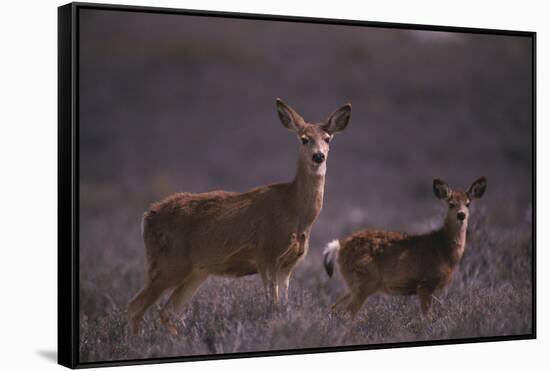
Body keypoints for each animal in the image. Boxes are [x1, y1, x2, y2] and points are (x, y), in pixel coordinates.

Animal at [129, 97, 352, 336]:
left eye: (328, 138)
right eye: (304, 139)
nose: (318, 156)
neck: (294, 212)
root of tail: (147, 217)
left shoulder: (288, 264)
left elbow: (284, 306)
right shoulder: (266, 254)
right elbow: (272, 307)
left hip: (195, 270)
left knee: (167, 311)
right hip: (169, 262)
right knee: (136, 306)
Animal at [326, 177, 490, 320]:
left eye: (468, 203)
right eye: (451, 203)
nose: (461, 215)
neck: (443, 250)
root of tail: (340, 245)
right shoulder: (425, 283)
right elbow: (427, 318)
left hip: (353, 283)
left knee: (335, 308)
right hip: (365, 279)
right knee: (348, 313)